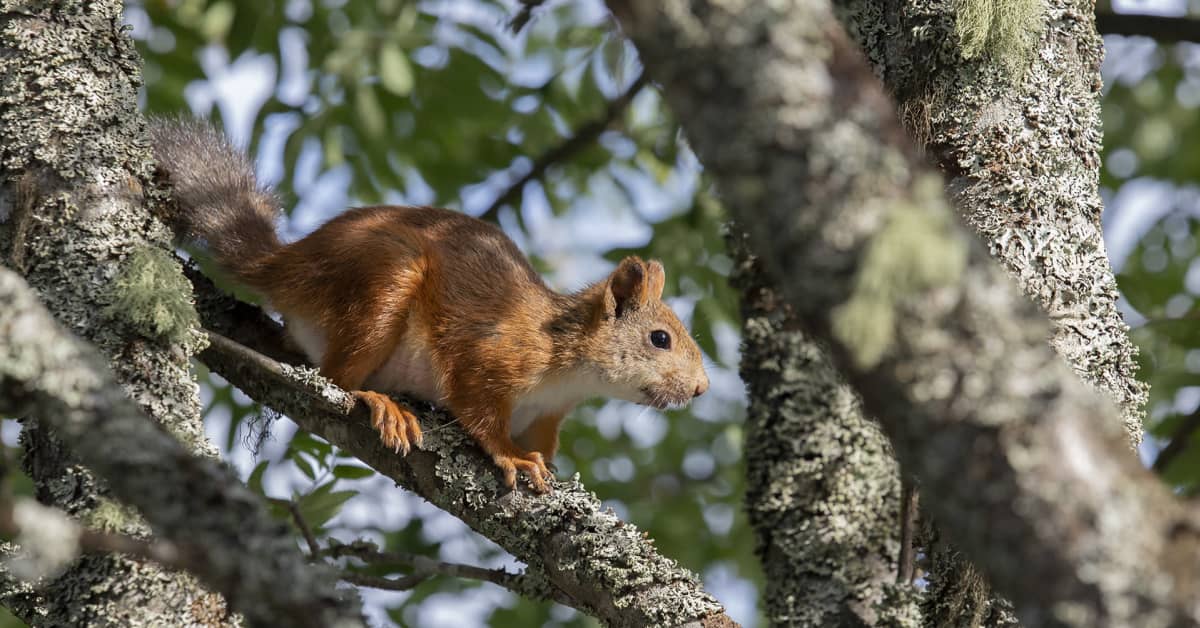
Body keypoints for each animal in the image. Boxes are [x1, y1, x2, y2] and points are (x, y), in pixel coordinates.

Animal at [150, 116, 710, 492]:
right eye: (660, 339)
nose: (702, 389)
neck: (569, 366)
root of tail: (287, 265)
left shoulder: (547, 414)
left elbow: (542, 442)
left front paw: (546, 465)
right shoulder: (491, 357)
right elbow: (478, 410)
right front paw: (512, 457)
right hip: (383, 283)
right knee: (335, 377)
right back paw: (380, 403)